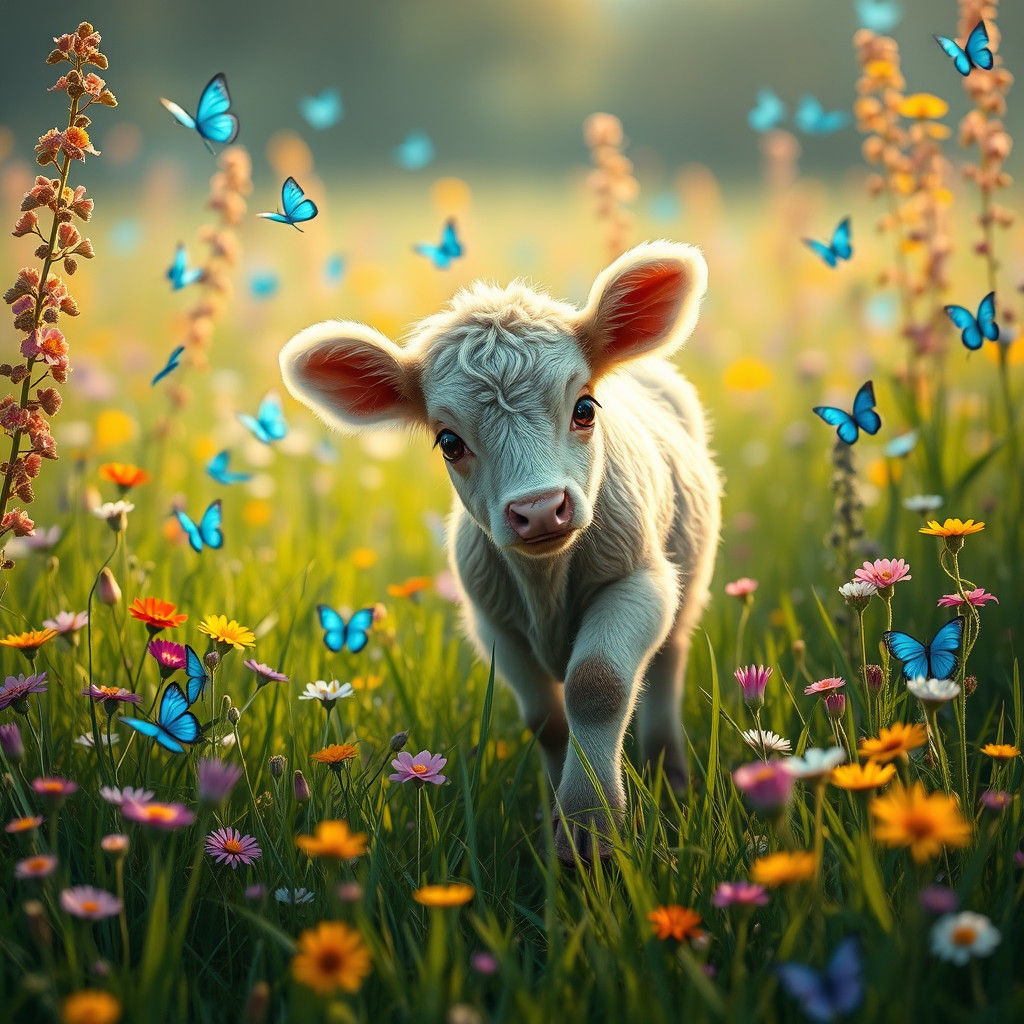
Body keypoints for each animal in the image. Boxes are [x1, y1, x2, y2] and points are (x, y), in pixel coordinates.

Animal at [280, 241, 721, 863]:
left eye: (586, 408)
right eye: (448, 441)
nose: (539, 509)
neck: (545, 580)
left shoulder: (640, 582)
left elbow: (597, 686)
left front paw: (590, 830)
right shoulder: (492, 620)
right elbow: (546, 720)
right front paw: (560, 826)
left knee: (667, 664)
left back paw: (671, 780)